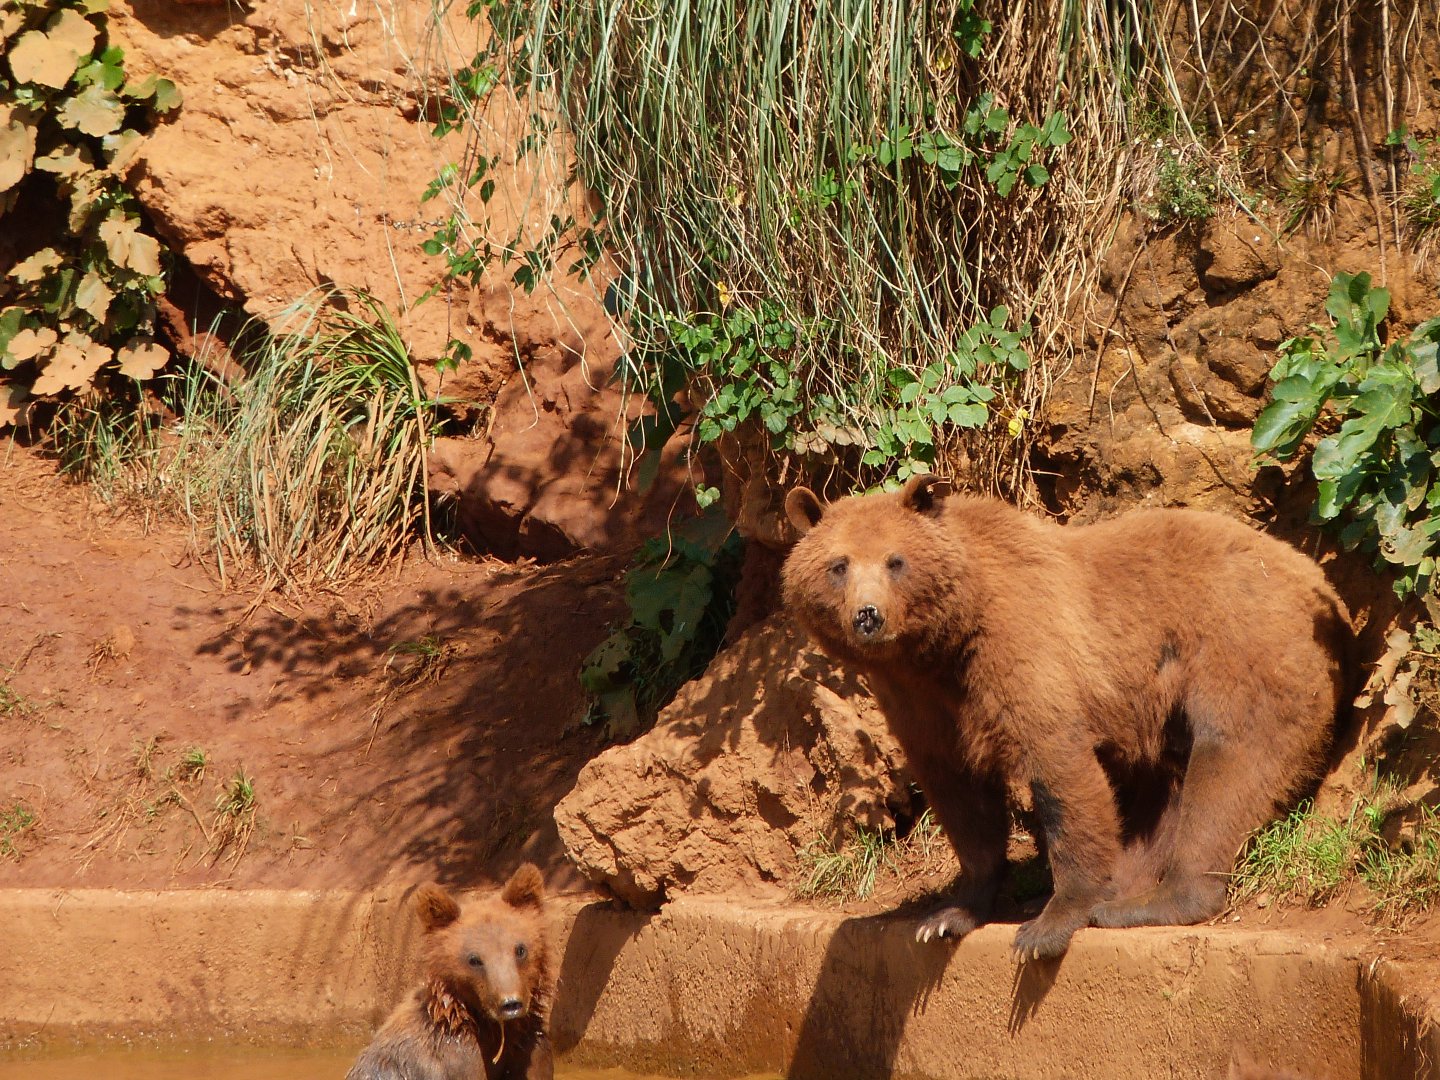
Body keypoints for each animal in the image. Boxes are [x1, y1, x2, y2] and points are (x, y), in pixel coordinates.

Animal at [782, 473, 1352, 961]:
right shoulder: (921, 703)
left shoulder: (1021, 648)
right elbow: (960, 794)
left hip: (1244, 649)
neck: (942, 646)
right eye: (839, 565)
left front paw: (1048, 924)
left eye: (894, 561)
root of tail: (1321, 584)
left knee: (1228, 766)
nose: (868, 615)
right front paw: (947, 914)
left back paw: (1149, 901)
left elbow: (1059, 765)